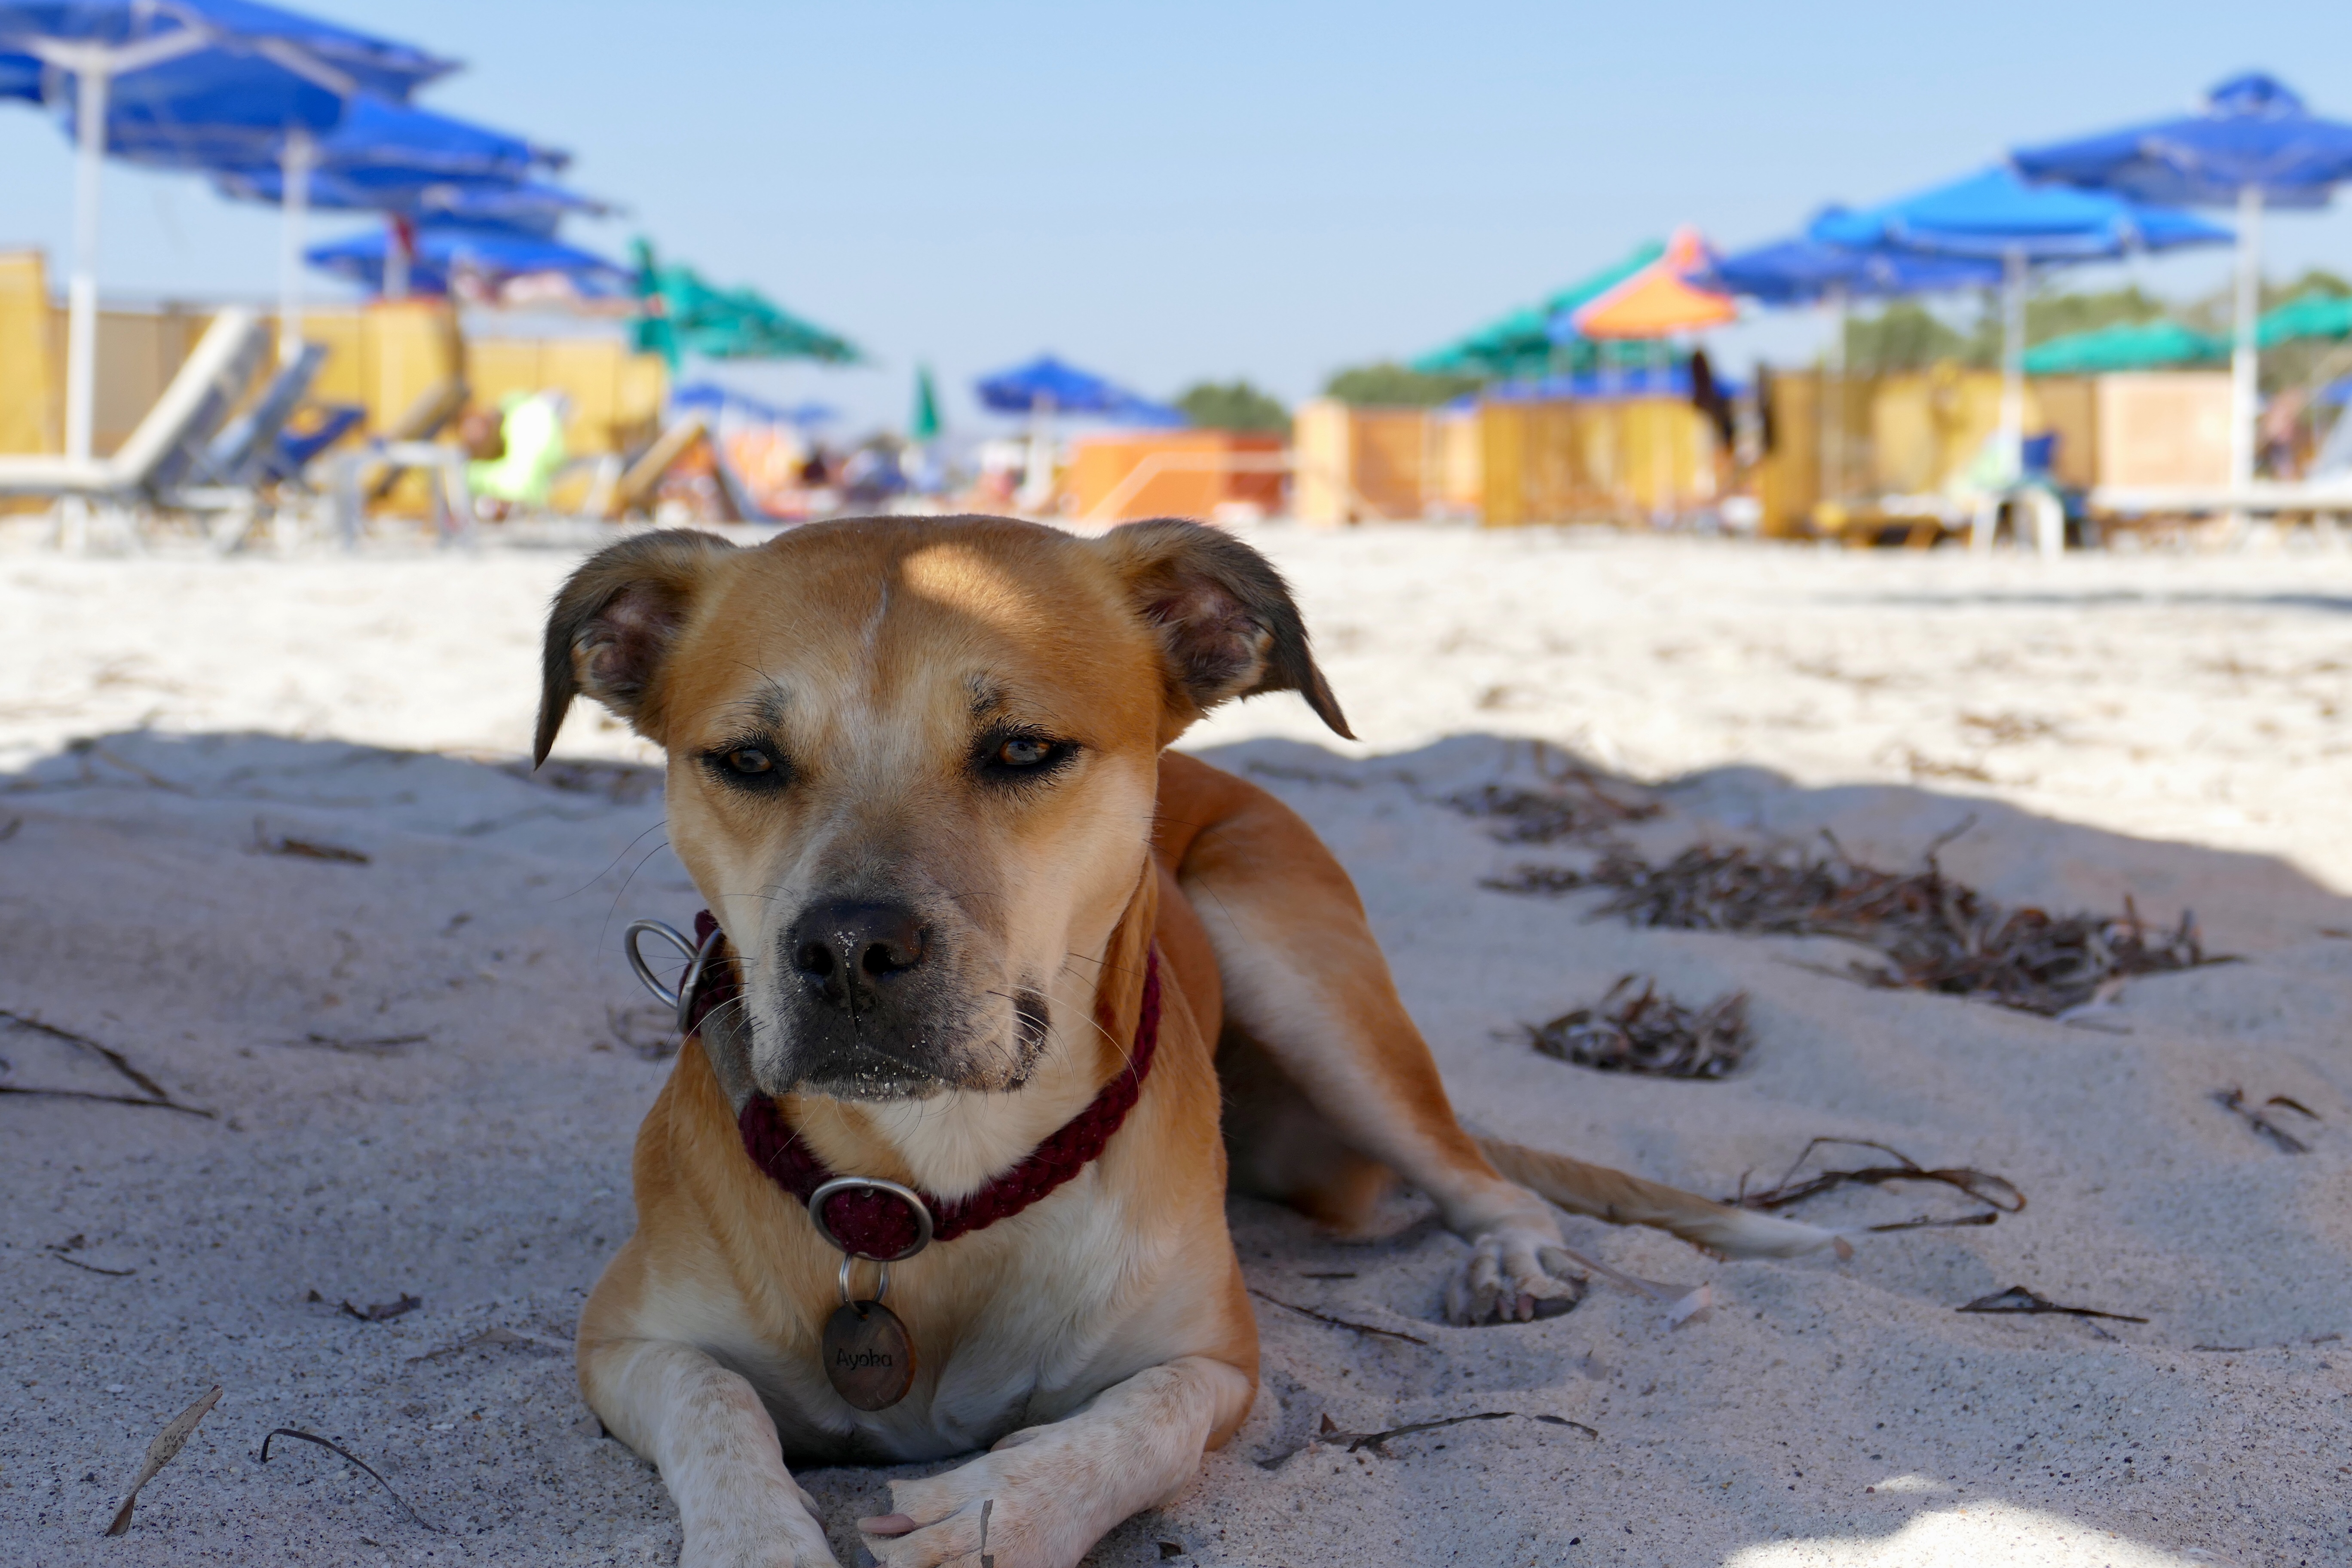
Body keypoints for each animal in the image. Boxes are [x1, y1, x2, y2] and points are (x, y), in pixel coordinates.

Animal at [539, 517, 1834, 1568]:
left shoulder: (1219, 1363)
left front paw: (1003, 1508)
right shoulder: (624, 1343)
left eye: (1021, 750)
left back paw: (1509, 1261)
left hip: (1302, 973)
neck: (933, 1180)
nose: (851, 949)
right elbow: (719, 1408)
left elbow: (1137, 1424)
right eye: (746, 761)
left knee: (1486, 1183)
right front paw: (761, 1540)